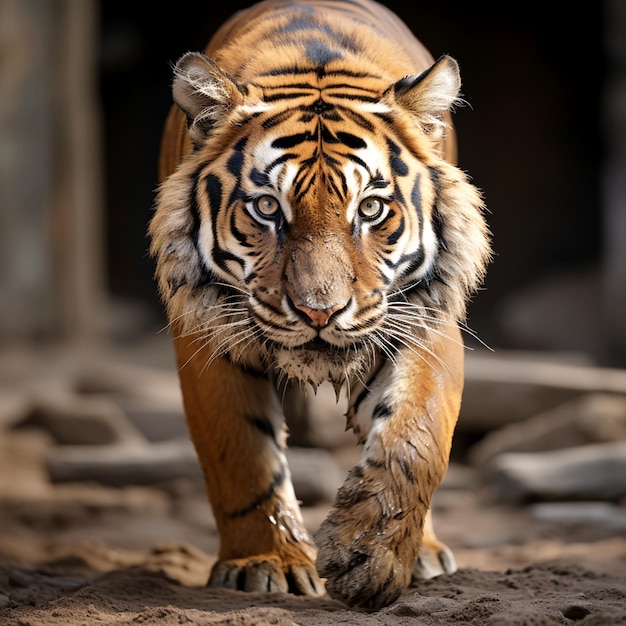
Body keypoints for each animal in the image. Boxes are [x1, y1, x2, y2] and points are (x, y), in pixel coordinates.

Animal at [149, 0, 490, 608]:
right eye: (267, 208)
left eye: (371, 209)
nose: (319, 313)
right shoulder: (206, 335)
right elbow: (241, 453)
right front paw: (268, 561)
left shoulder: (426, 317)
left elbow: (416, 439)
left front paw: (369, 557)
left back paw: (424, 553)